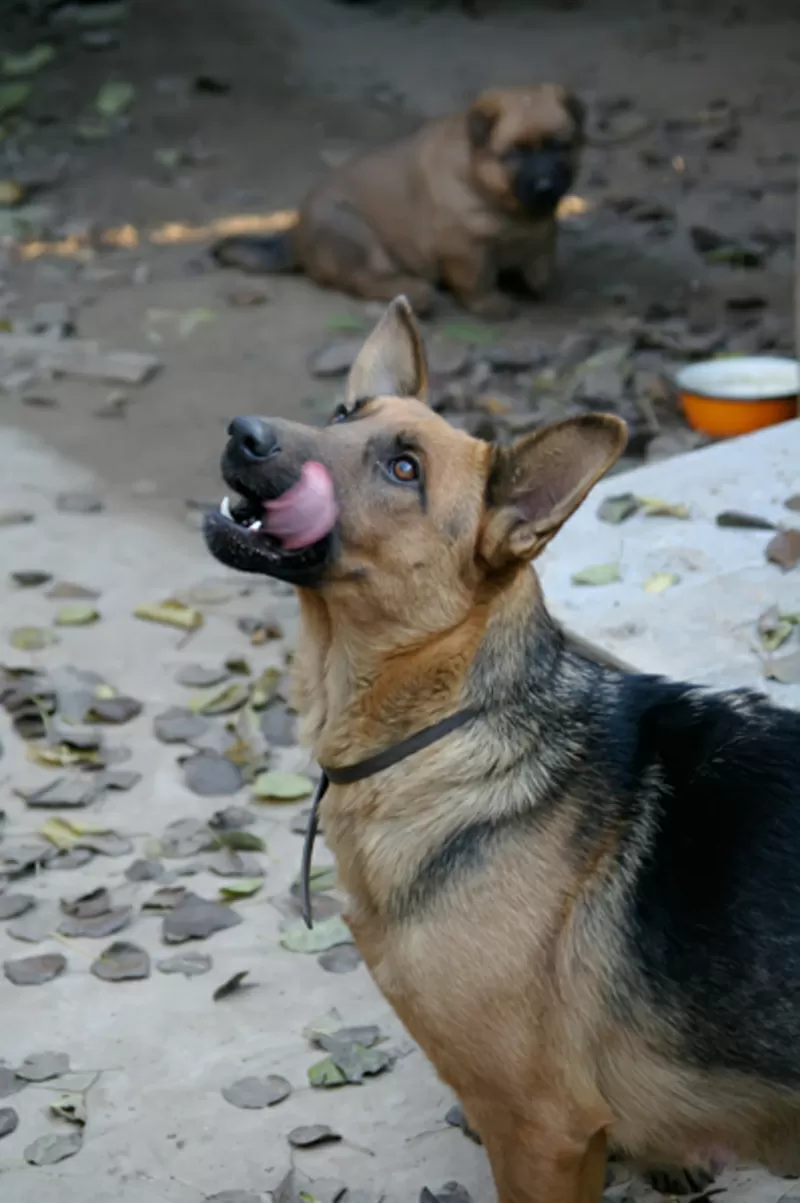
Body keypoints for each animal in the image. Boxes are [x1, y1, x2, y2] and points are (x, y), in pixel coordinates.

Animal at [214, 86, 579, 319]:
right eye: (517, 153)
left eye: (559, 146)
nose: (546, 186)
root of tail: (294, 237)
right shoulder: (463, 246)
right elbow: (477, 280)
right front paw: (491, 303)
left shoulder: (542, 230)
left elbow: (542, 260)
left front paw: (546, 286)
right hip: (353, 232)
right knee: (364, 279)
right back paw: (416, 293)